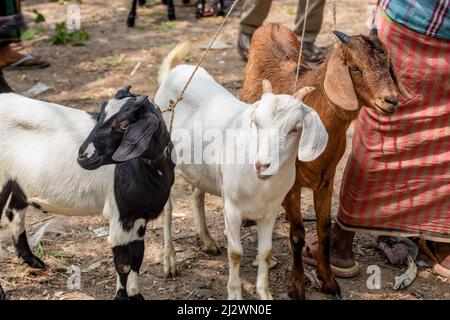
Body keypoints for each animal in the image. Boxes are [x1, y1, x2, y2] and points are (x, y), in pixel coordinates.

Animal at [0, 85, 175, 300]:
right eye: (99, 115)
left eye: (124, 124)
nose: (83, 156)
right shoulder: (120, 217)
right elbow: (123, 264)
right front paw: (121, 296)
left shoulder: (139, 218)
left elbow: (136, 258)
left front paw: (135, 295)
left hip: (18, 181)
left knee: (14, 212)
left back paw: (34, 261)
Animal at [155, 43, 326, 300]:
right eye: (256, 122)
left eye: (296, 128)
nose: (262, 165)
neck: (260, 186)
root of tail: (173, 73)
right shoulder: (232, 208)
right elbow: (236, 253)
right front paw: (234, 294)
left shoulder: (270, 210)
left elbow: (265, 252)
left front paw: (264, 293)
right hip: (164, 157)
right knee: (167, 208)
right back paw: (170, 260)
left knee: (197, 193)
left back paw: (207, 241)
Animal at [243, 23, 412, 300]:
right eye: (355, 67)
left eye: (388, 65)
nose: (391, 101)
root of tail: (272, 25)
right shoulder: (293, 184)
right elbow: (297, 235)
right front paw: (297, 286)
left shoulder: (327, 179)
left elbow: (324, 228)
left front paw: (329, 281)